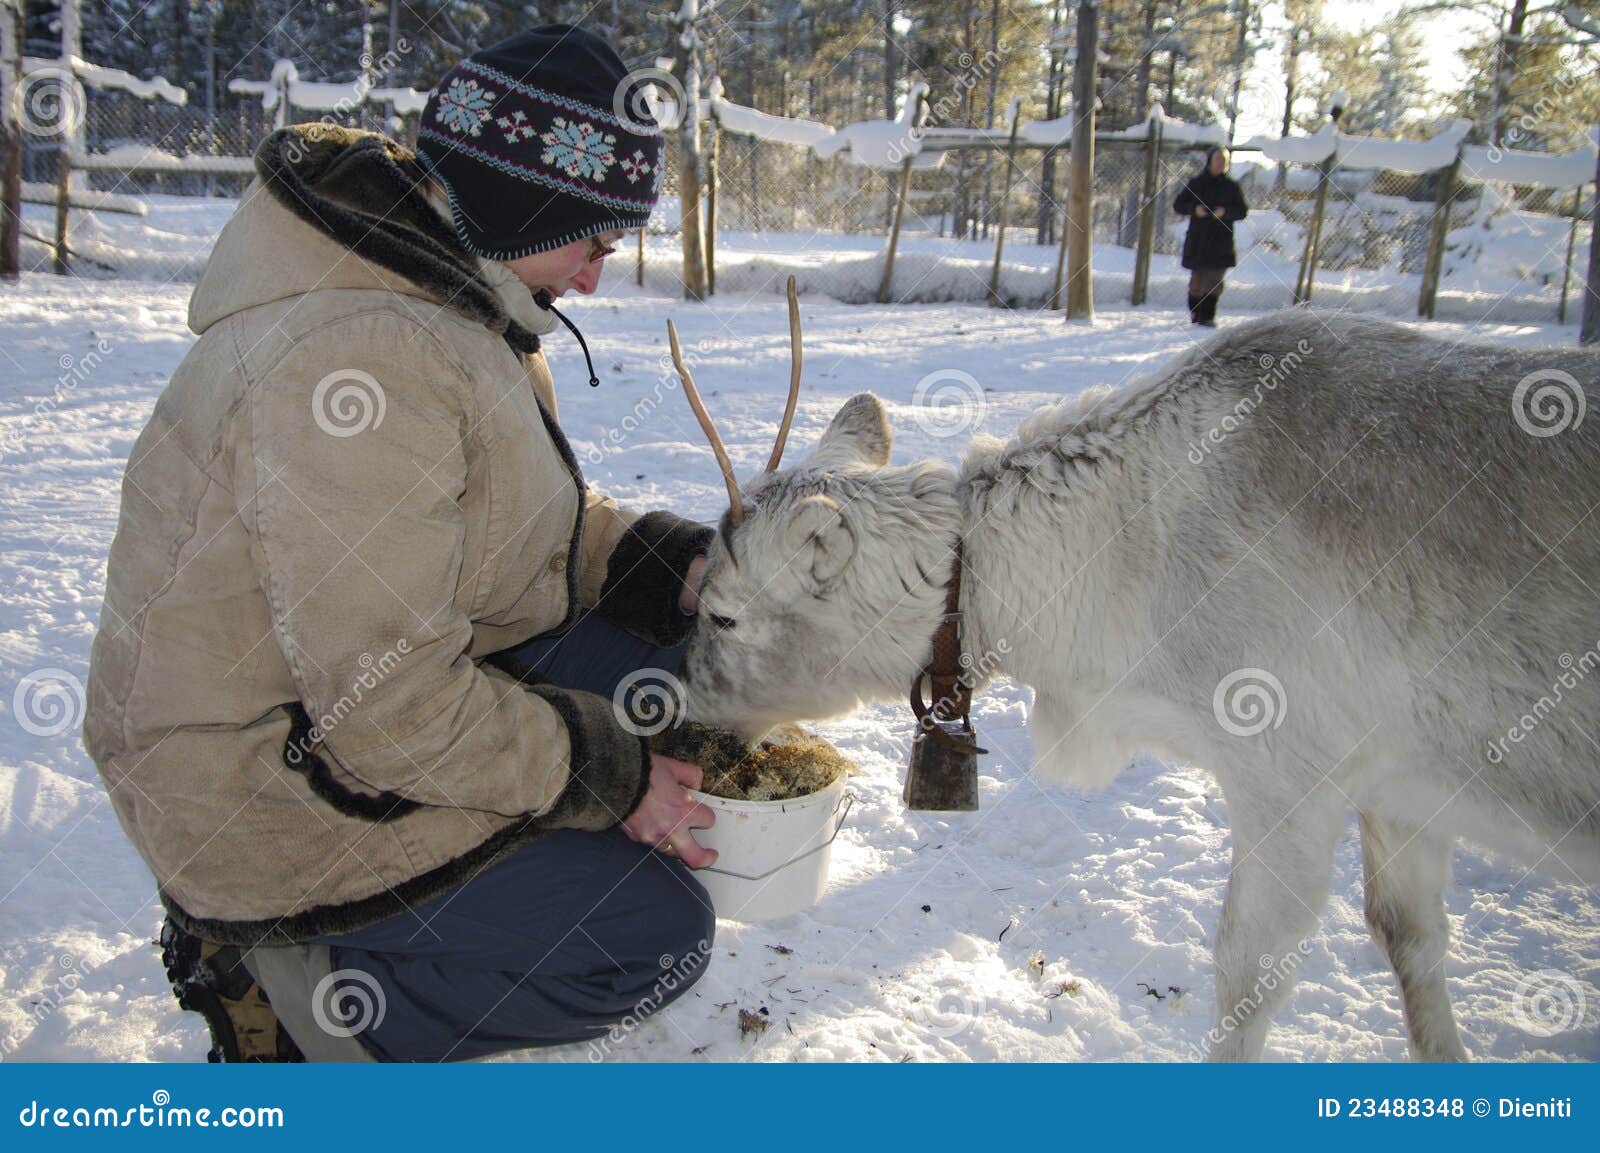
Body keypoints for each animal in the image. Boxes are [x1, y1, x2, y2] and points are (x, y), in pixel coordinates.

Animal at [665, 290, 1600, 1061]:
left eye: (723, 615)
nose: (681, 711)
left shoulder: (1290, 772)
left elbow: (1248, 969)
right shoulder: (1403, 787)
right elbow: (1411, 941)